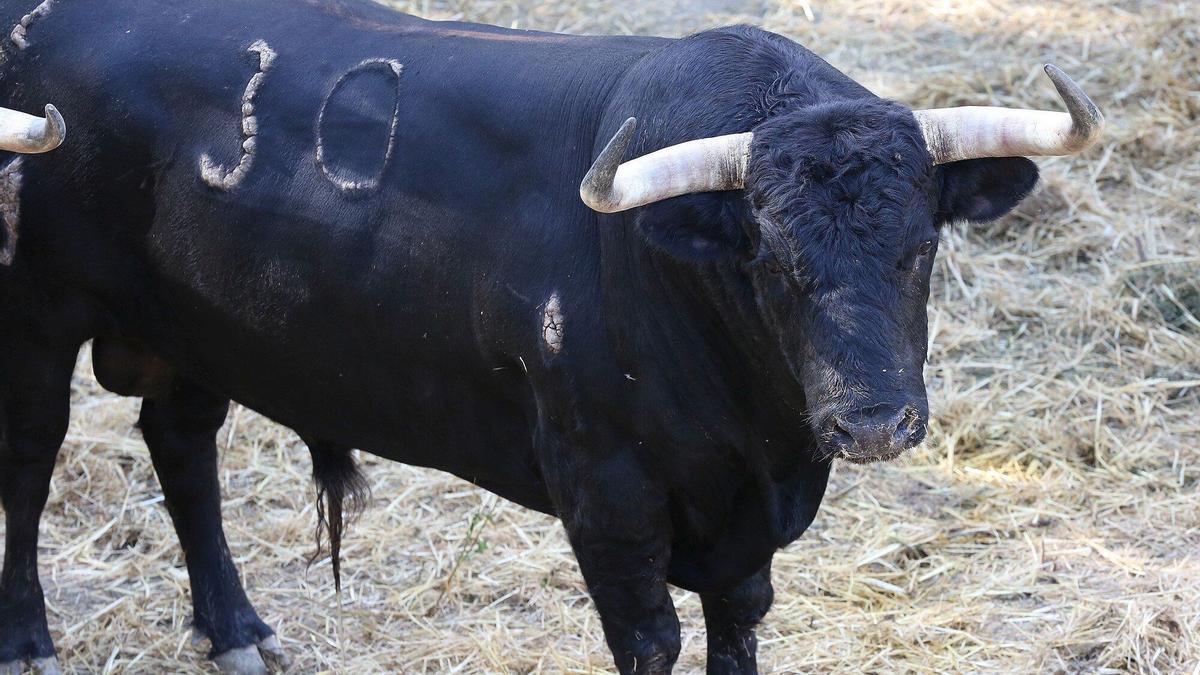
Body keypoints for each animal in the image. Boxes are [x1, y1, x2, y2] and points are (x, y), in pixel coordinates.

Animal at [2, 1, 1060, 672]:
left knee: (182, 446)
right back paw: (30, 643)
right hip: (37, 313)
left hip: (194, 326)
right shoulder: (605, 492)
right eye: (770, 260)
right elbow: (651, 639)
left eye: (922, 246)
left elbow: (738, 627)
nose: (875, 421)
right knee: (32, 461)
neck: (760, 449)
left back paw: (236, 632)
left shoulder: (743, 532)